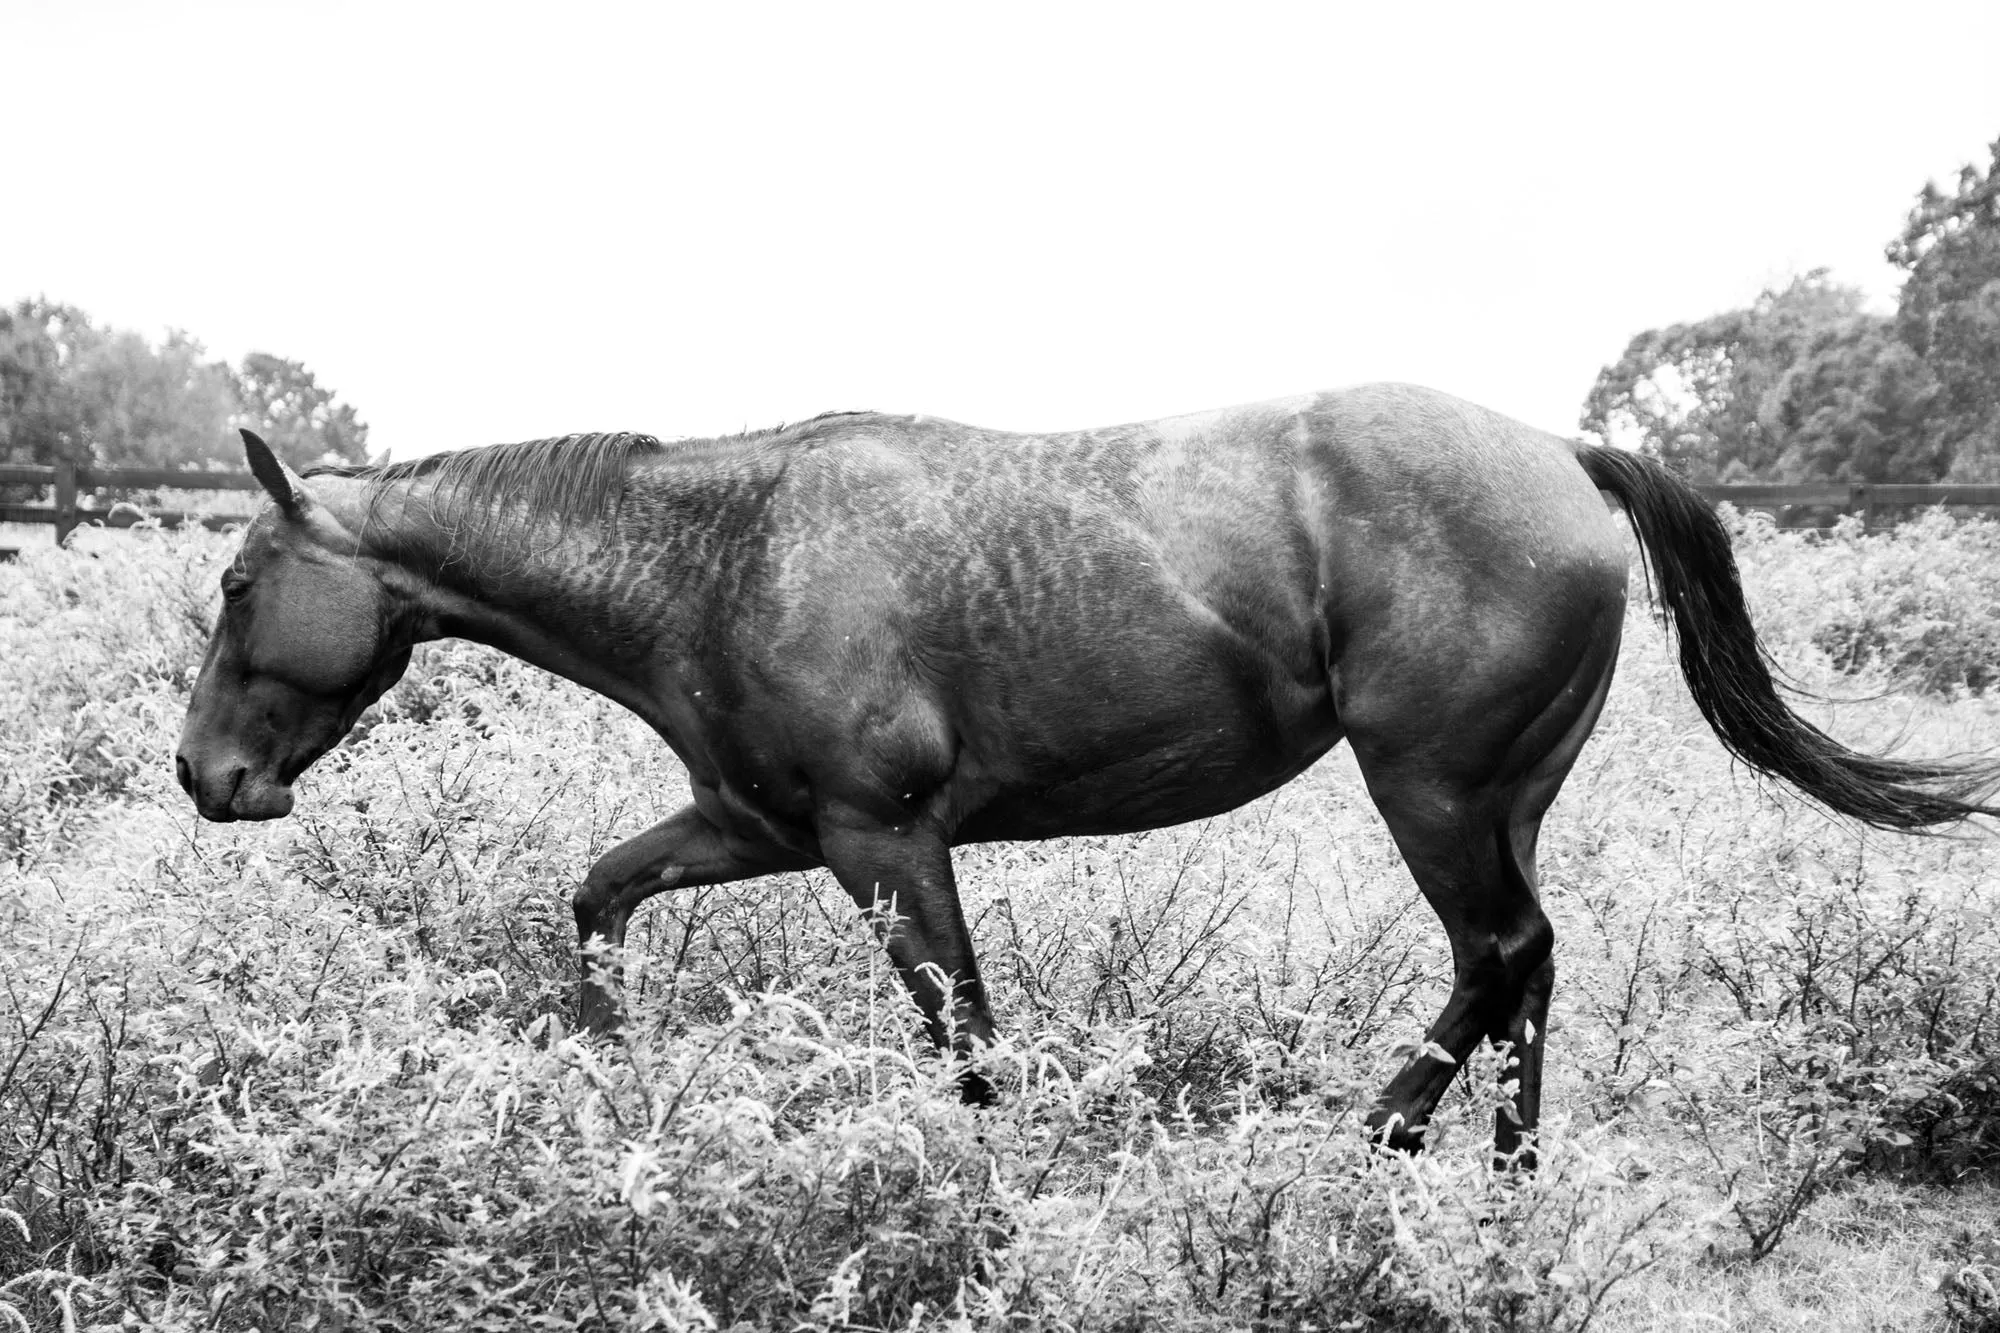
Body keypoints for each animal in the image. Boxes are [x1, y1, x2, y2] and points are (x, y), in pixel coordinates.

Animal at [176, 384, 2000, 1160]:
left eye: (241, 585)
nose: (207, 776)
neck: (724, 555)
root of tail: (1562, 453)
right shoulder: (756, 822)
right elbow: (598, 899)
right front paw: (614, 1081)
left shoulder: (884, 840)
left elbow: (970, 1043)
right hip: (1502, 800)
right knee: (1532, 971)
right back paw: (1498, 1177)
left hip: (1431, 791)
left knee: (1501, 955)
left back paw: (1381, 1137)